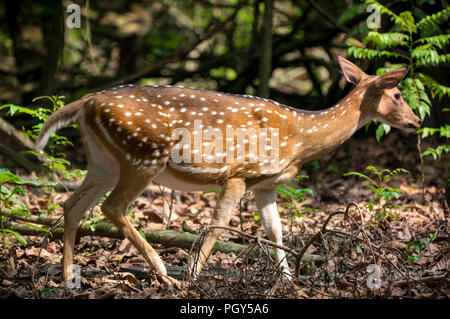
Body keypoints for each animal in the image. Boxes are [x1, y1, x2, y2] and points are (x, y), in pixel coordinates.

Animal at [36, 56, 422, 284]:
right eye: (398, 94)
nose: (417, 122)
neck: (299, 136)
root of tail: (86, 102)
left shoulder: (265, 182)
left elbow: (276, 230)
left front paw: (289, 282)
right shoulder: (238, 173)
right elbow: (219, 224)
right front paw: (193, 277)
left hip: (104, 161)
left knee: (72, 206)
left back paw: (68, 278)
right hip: (142, 155)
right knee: (112, 207)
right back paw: (163, 272)